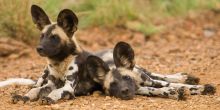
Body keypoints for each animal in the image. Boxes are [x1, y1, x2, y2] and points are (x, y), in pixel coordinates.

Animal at [85, 41, 215, 100]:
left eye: (127, 78)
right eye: (113, 84)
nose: (125, 91)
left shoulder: (149, 81)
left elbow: (170, 84)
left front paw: (203, 88)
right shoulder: (140, 89)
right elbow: (156, 90)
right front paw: (173, 92)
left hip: (144, 73)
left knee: (157, 76)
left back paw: (184, 78)